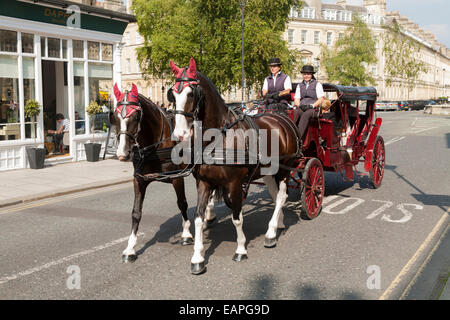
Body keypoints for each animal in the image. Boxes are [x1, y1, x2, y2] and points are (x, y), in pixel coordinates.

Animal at [108, 84, 215, 264]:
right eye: (115, 117)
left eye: (136, 117)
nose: (122, 154)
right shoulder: (139, 180)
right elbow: (136, 212)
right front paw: (130, 248)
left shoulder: (177, 177)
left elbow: (182, 203)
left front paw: (186, 233)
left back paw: (208, 213)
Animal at [168, 57, 302, 272]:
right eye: (172, 93)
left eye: (191, 93)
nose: (180, 134)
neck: (217, 137)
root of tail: (282, 118)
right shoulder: (204, 182)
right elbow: (198, 217)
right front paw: (197, 257)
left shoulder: (235, 183)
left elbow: (237, 217)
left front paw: (240, 249)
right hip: (268, 170)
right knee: (275, 196)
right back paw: (278, 223)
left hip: (284, 168)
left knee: (282, 196)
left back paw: (271, 232)